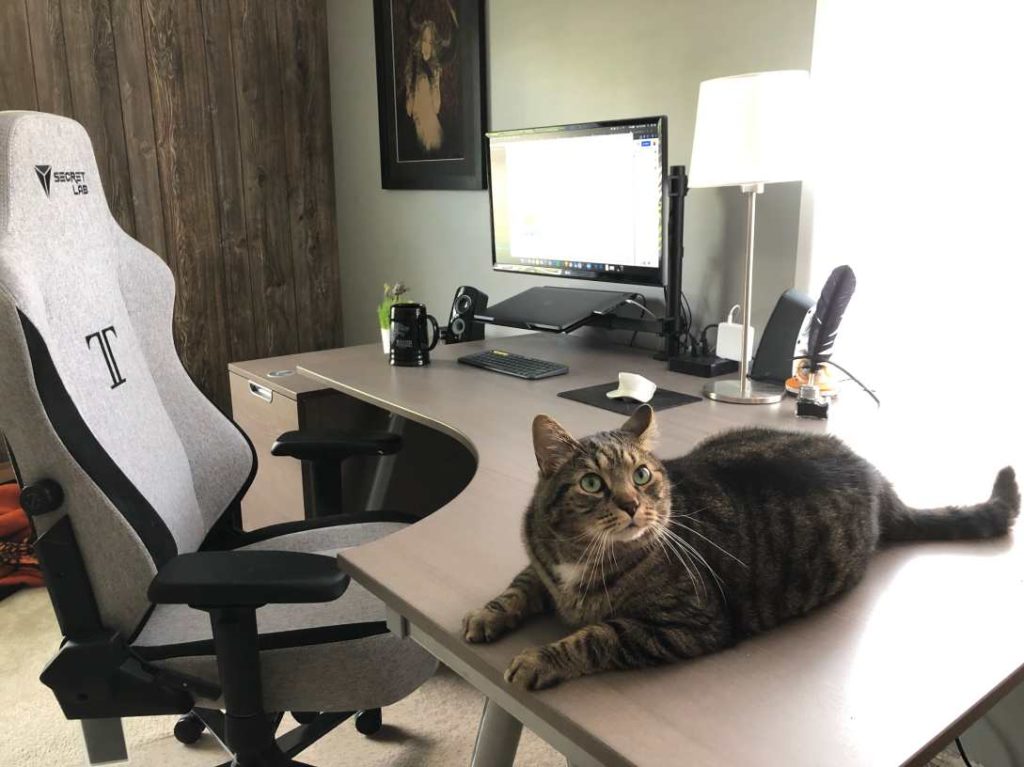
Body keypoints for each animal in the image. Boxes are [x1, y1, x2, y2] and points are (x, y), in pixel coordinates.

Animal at [466, 407, 1024, 688]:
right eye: (590, 483)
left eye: (642, 475)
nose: (630, 505)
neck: (582, 555)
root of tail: (877, 478)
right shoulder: (540, 566)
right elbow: (520, 587)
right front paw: (487, 614)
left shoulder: (687, 624)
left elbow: (596, 636)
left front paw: (540, 659)